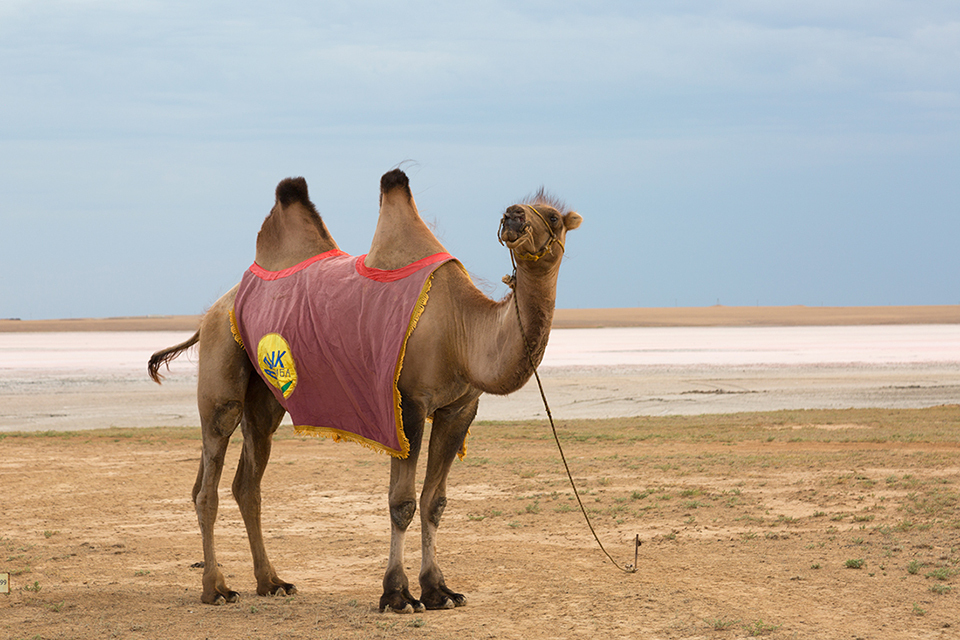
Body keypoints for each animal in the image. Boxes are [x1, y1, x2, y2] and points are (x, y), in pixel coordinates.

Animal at [148, 168, 584, 612]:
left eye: (553, 217)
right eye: (520, 209)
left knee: (247, 484)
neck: (462, 330)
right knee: (209, 480)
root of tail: (213, 311)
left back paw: (272, 582)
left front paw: (439, 590)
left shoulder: (458, 409)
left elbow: (435, 502)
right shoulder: (406, 404)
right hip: (222, 373)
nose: (513, 216)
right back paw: (216, 588)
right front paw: (397, 594)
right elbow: (402, 502)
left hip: (266, 399)